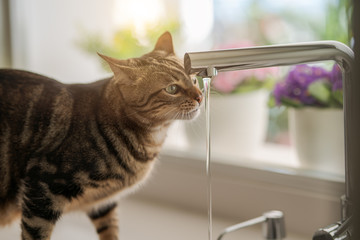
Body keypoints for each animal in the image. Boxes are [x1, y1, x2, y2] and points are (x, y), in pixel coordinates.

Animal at [0, 32, 202, 240]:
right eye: (172, 89)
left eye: (194, 79)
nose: (200, 97)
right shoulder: (41, 188)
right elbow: (36, 234)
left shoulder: (103, 202)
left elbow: (110, 229)